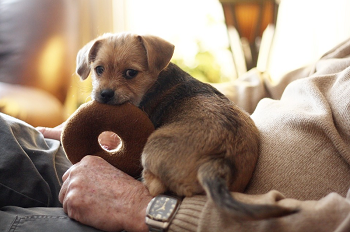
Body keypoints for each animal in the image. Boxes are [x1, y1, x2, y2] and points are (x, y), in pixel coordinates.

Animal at [75, 32, 296, 219]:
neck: (155, 82)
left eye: (130, 73)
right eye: (99, 69)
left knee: (156, 186)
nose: (104, 94)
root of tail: (217, 162)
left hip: (151, 149)